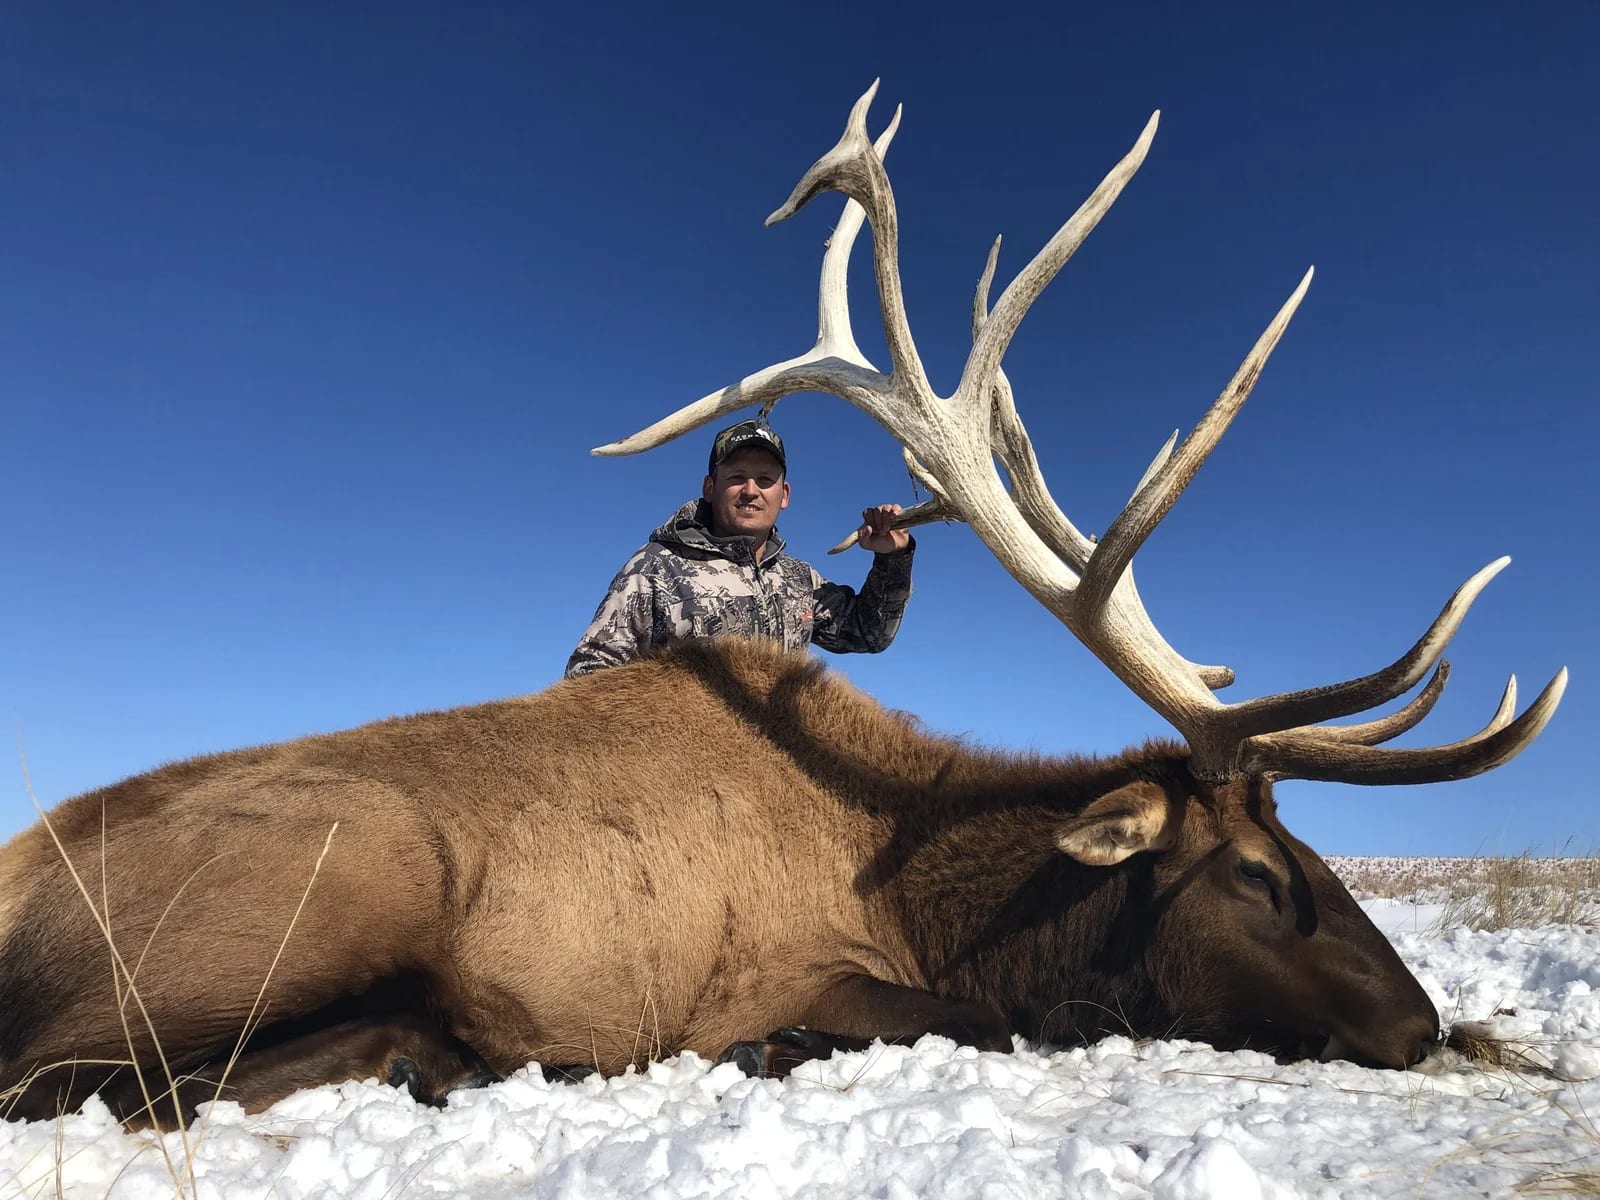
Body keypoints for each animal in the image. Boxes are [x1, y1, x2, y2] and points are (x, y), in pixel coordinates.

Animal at [0, 82, 1565, 1131]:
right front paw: (765, 1053)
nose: (1422, 1023)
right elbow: (952, 1026)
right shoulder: (810, 970)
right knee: (82, 1083)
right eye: (1256, 873)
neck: (940, 895)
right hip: (347, 878)